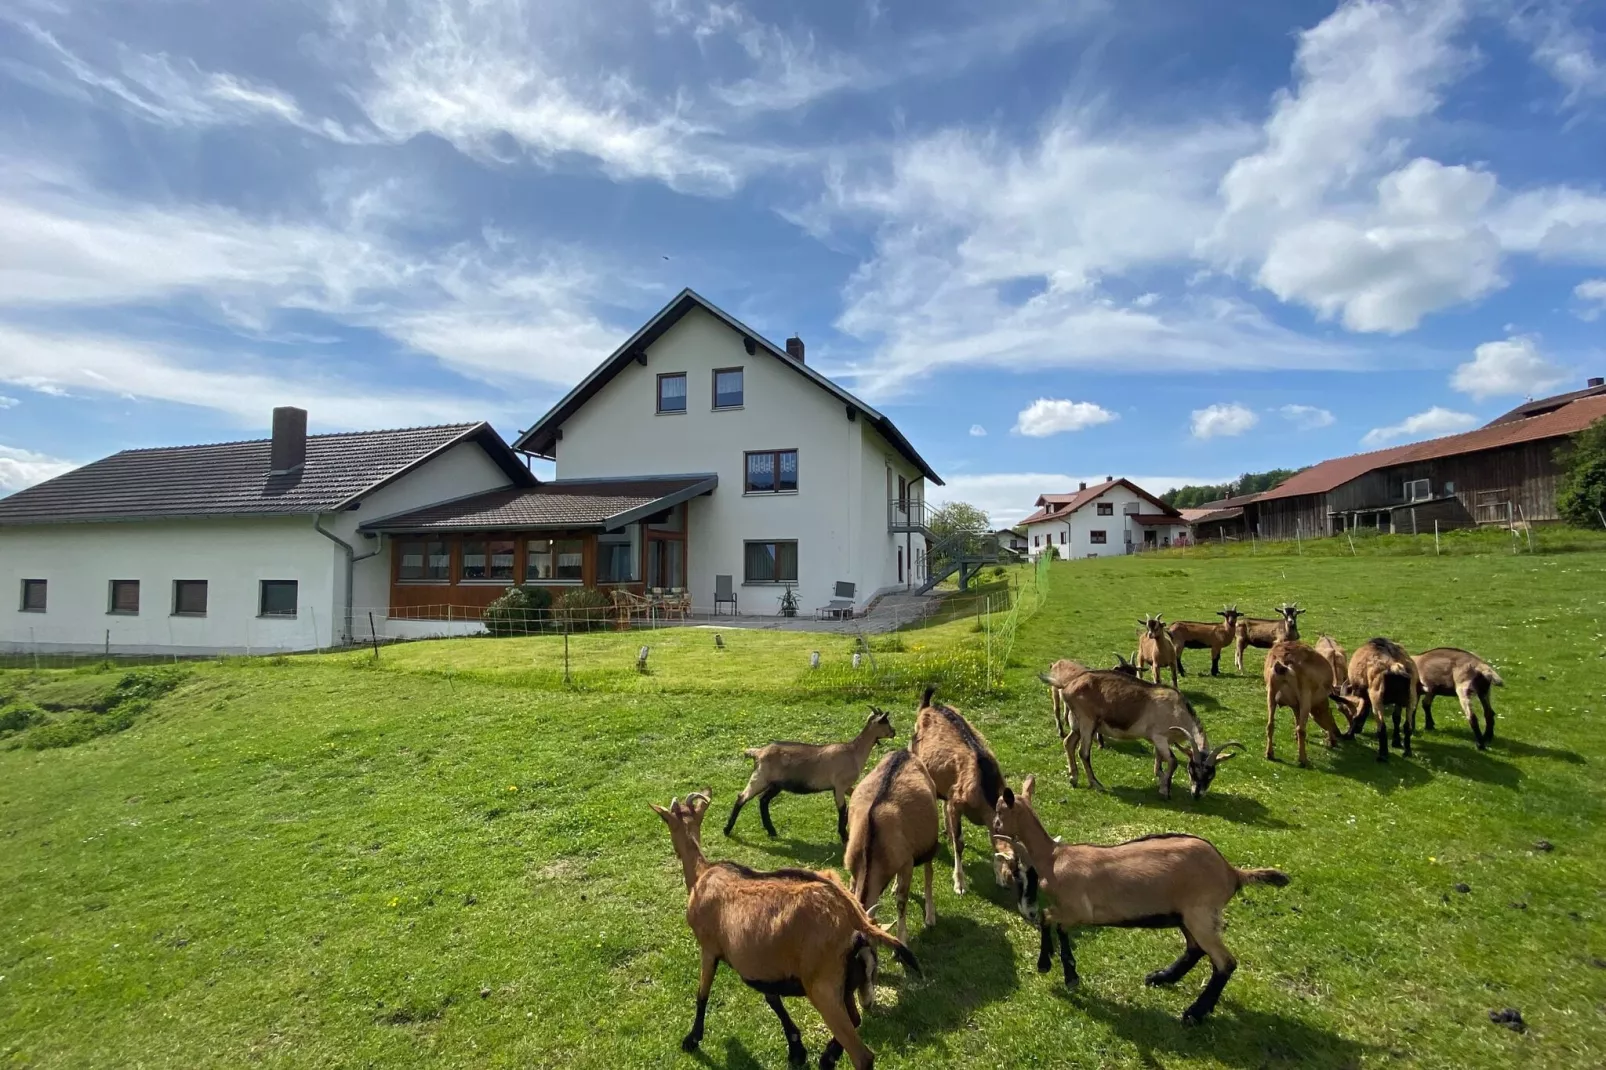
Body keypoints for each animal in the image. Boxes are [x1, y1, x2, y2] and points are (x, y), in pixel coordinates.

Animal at [652, 784, 925, 1066]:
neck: (702, 874)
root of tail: (855, 919)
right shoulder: (764, 966)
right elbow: (774, 1001)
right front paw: (796, 1048)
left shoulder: (709, 948)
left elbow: (702, 993)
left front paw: (692, 1039)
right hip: (844, 984)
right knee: (855, 1018)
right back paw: (828, 1056)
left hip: (823, 988)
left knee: (862, 1054)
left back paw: (830, 1058)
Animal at [725, 706, 899, 841]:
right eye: (886, 721)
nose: (894, 732)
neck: (853, 752)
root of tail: (758, 752)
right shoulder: (839, 786)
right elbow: (842, 809)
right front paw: (844, 836)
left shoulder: (844, 787)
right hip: (760, 777)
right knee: (742, 797)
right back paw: (727, 830)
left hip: (775, 784)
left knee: (763, 800)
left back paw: (771, 831)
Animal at [841, 745, 937, 938]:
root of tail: (903, 752)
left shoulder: (908, 863)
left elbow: (902, 901)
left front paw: (902, 938)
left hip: (929, 844)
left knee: (928, 874)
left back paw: (930, 916)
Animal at [989, 771, 1291, 1021]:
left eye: (1000, 810)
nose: (994, 826)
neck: (1053, 857)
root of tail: (1232, 872)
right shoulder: (1068, 911)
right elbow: (1056, 926)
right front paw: (1065, 967)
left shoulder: (1078, 909)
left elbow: (1046, 918)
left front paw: (1048, 965)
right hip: (1186, 914)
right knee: (1195, 949)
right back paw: (1162, 977)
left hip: (1201, 912)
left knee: (1224, 962)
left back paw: (1194, 1013)